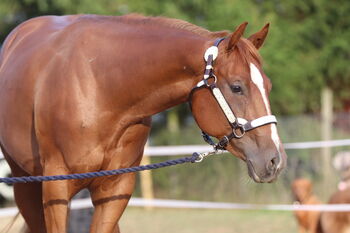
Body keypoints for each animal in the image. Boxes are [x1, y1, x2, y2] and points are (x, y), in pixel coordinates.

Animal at [0, 13, 288, 232]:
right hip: (26, 185)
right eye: (237, 87)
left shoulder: (116, 189)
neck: (99, 87)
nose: (275, 160)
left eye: (269, 86)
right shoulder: (56, 188)